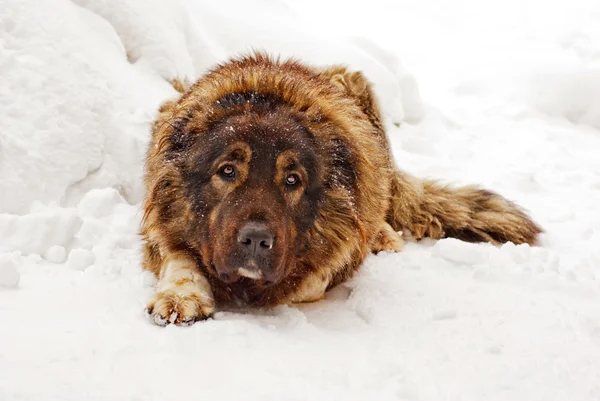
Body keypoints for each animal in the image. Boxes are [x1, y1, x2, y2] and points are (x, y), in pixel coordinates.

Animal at [139, 53, 540, 324]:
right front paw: (183, 294)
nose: (255, 240)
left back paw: (384, 236)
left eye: (292, 180)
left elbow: (314, 276)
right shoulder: (160, 212)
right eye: (227, 170)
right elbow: (178, 254)